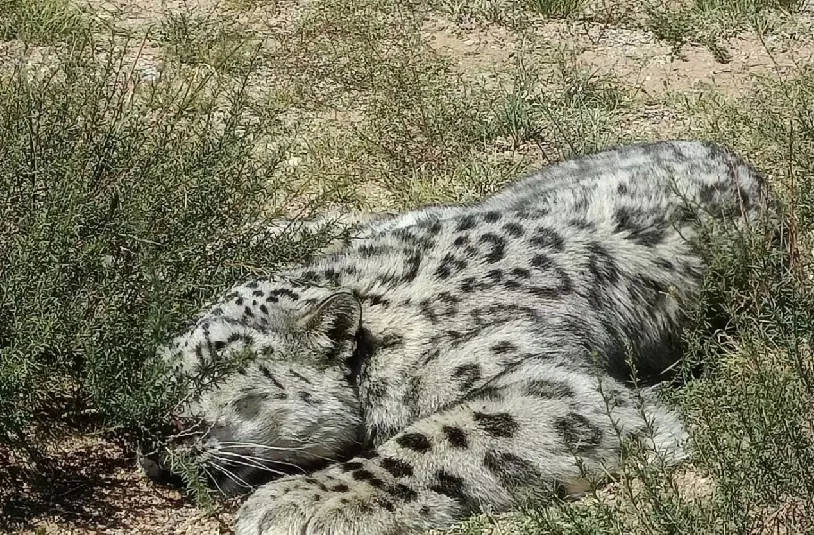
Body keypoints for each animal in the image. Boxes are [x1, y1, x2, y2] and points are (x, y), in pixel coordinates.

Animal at [143, 141, 776, 535]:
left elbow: (433, 439)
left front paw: (298, 500)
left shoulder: (556, 388)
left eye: (217, 367)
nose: (150, 442)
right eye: (165, 368)